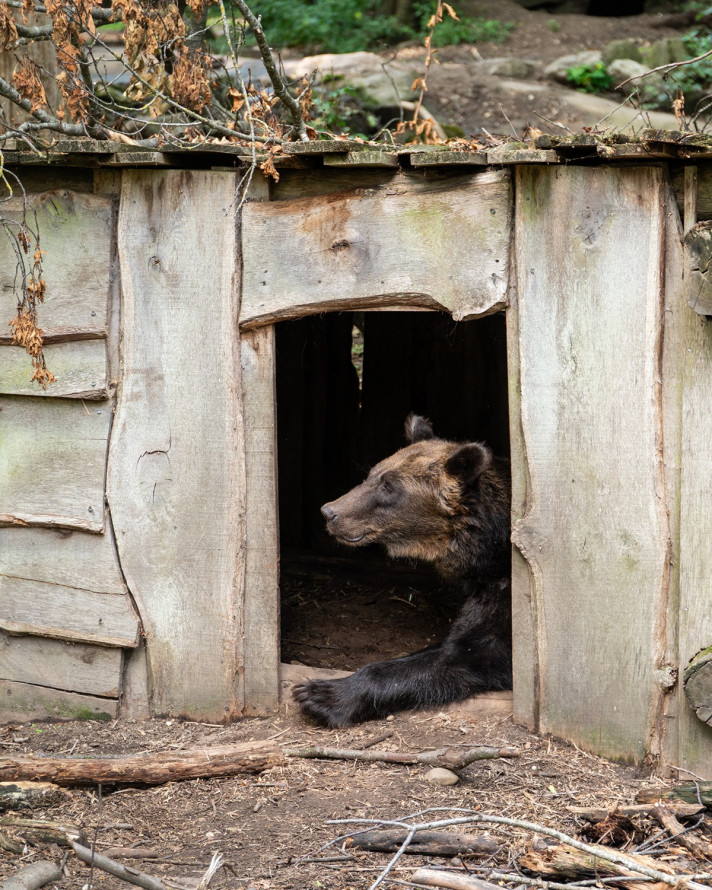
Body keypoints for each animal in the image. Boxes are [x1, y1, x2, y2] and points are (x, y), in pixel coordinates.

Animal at [294, 412, 512, 724]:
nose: (330, 512)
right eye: (371, 474)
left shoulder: (506, 593)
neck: (491, 549)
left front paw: (323, 694)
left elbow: (474, 651)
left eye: (389, 486)